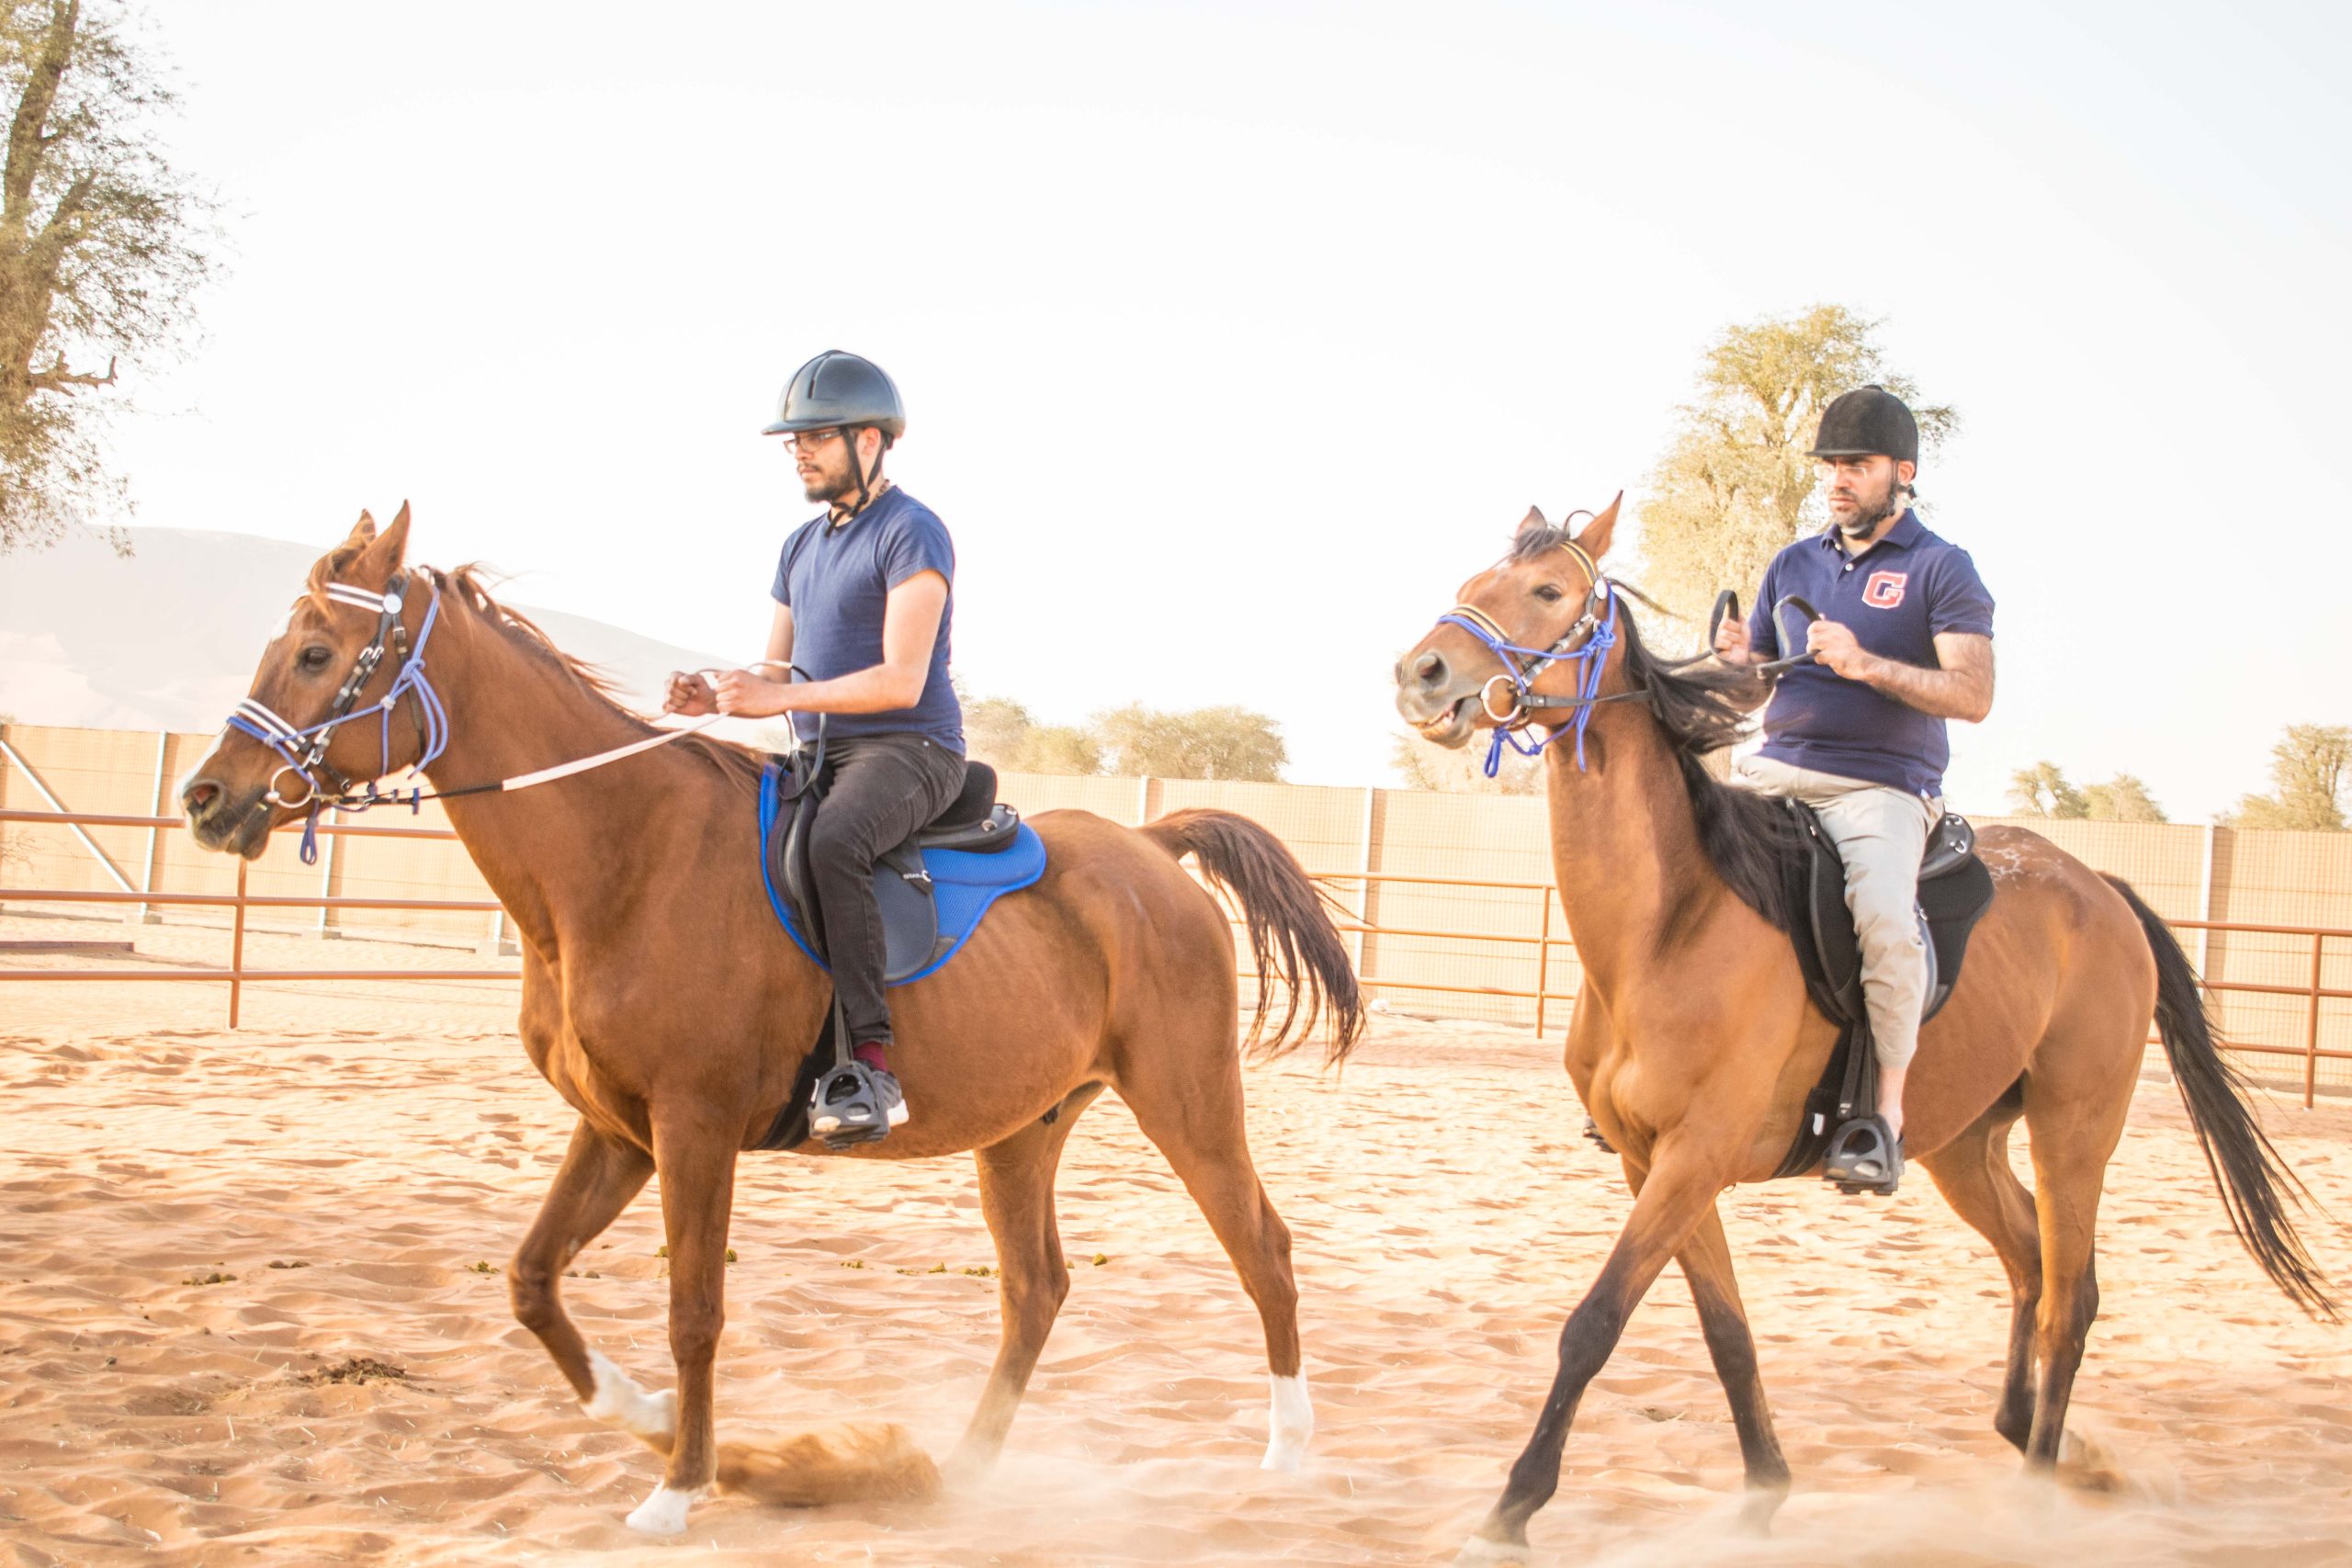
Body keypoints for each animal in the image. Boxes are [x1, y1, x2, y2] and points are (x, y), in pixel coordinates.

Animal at [183, 512, 1363, 1532]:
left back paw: (1286, 1454)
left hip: (1187, 1099)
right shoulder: (617, 1132)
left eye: (317, 653)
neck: (623, 854)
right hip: (1023, 1131)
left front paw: (680, 1486)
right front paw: (652, 1421)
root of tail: (1152, 849)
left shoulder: (694, 1129)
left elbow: (694, 1310)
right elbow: (530, 1282)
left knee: (1262, 1248)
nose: (207, 798)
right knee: (1036, 1288)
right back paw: (960, 1473)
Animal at [1392, 495, 2333, 1561]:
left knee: (2070, 1297)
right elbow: (1726, 1333)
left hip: (2074, 1129)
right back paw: (2042, 1443)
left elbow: (1594, 1323)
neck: (1673, 920)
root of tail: (2100, 890)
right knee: (2029, 1260)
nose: (1423, 673)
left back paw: (2037, 1493)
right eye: (1473, 587)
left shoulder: (1692, 1158)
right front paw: (1763, 1493)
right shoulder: (1652, 1162)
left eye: (1549, 591)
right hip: (1963, 1145)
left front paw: (1510, 1511)